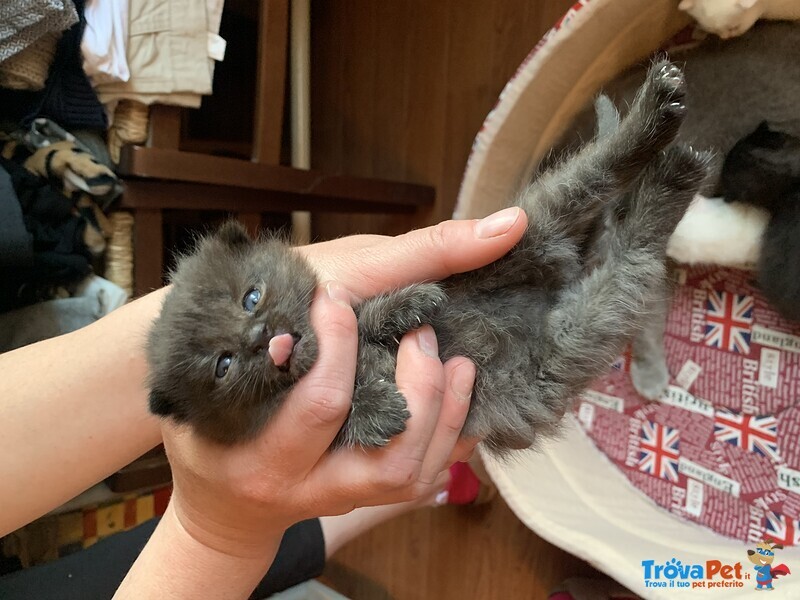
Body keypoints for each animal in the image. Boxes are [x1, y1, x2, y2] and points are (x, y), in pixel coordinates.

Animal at [147, 61, 708, 454]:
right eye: (223, 365)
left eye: (251, 297)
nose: (260, 335)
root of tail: (559, 290)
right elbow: (343, 422)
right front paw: (377, 409)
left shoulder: (353, 306)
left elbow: (368, 312)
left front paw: (408, 305)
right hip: (581, 333)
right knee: (635, 249)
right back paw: (677, 170)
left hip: (528, 230)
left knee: (603, 170)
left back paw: (659, 114)